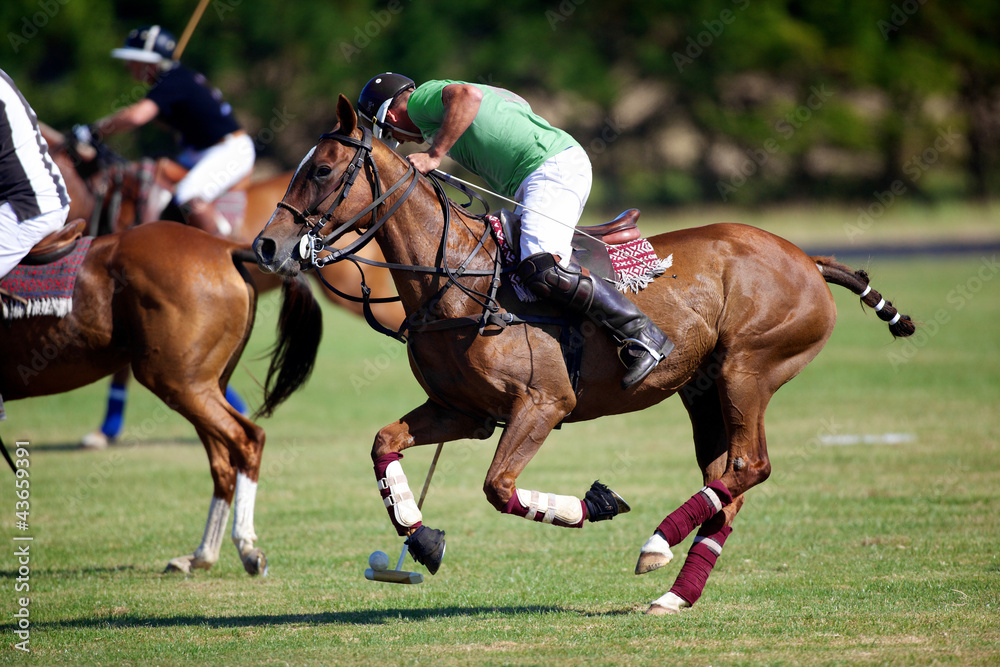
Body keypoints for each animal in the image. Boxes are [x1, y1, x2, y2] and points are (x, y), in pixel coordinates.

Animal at [0, 223, 320, 576]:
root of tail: (224, 247)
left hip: (177, 382)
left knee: (247, 439)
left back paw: (244, 546)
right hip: (202, 385)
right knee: (224, 462)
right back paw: (202, 555)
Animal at [250, 96, 916, 612]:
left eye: (323, 169)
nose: (267, 245)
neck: (458, 278)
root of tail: (806, 257)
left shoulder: (543, 403)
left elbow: (499, 486)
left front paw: (598, 503)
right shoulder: (462, 411)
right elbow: (383, 442)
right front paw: (421, 540)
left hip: (747, 369)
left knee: (750, 467)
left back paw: (656, 544)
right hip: (704, 390)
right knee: (728, 481)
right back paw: (675, 591)